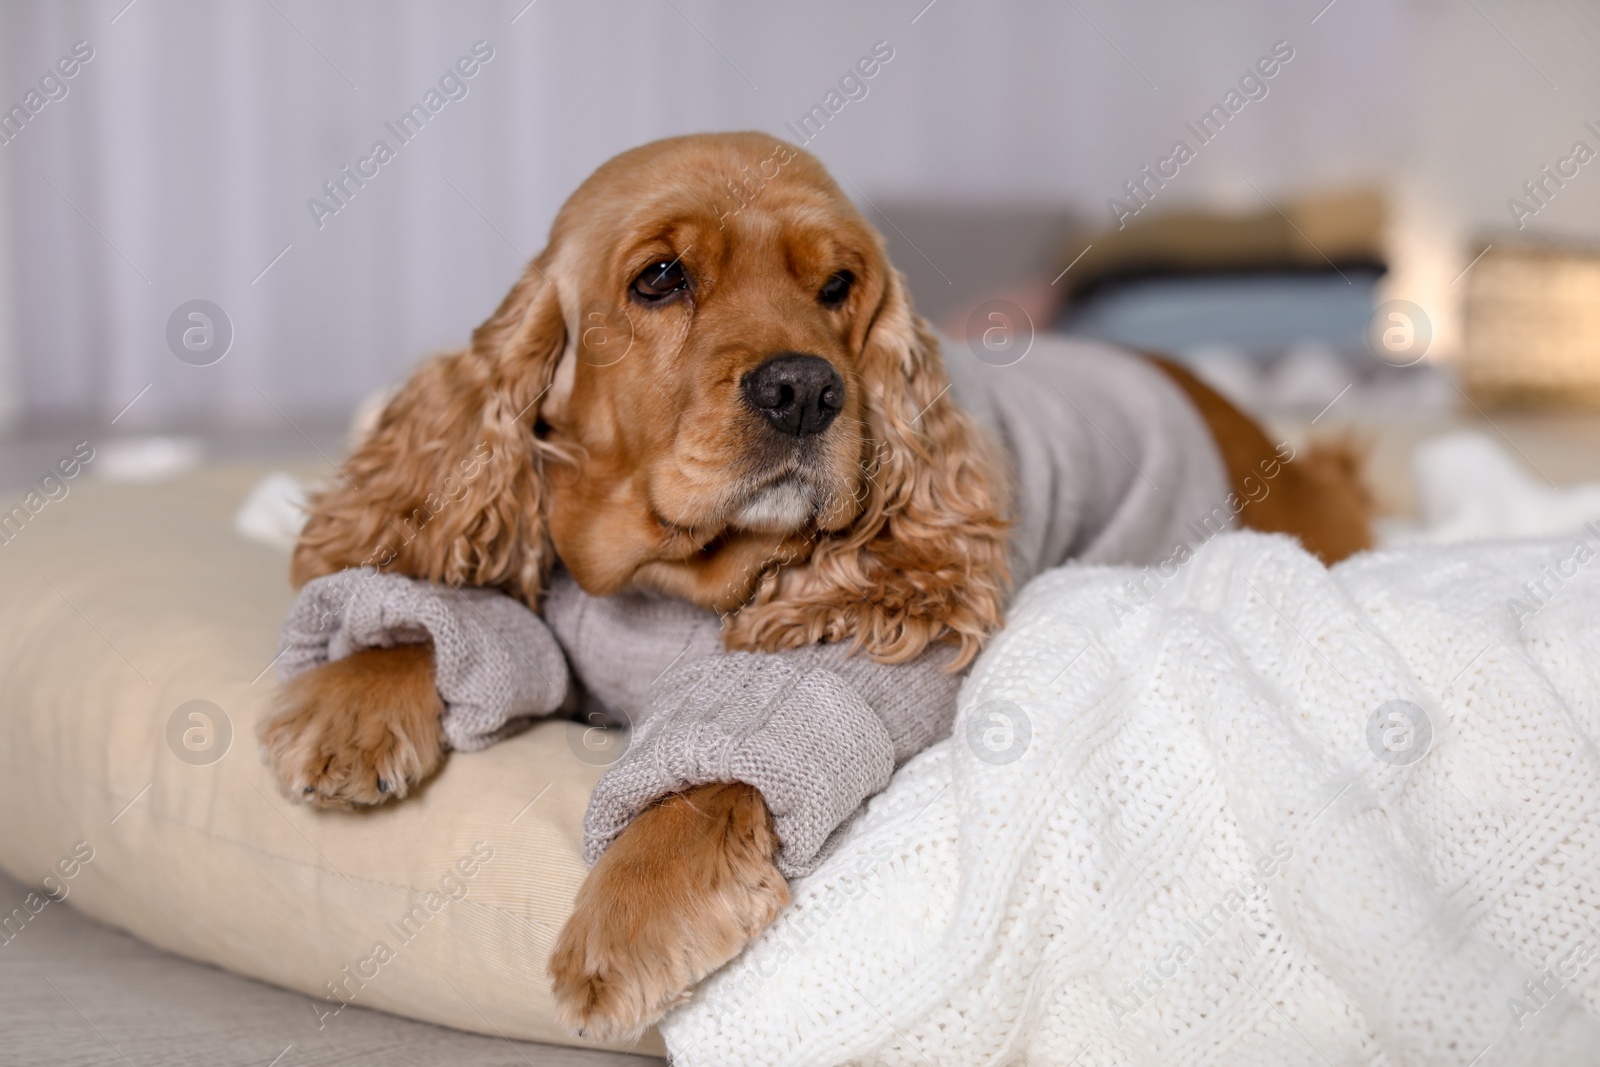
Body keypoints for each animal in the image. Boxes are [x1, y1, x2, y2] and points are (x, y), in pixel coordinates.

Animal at [256, 131, 1369, 1043]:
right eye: (660, 277)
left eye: (837, 284)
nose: (804, 387)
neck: (672, 585)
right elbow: (457, 614)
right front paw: (354, 703)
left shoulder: (857, 653)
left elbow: (713, 770)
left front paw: (626, 919)